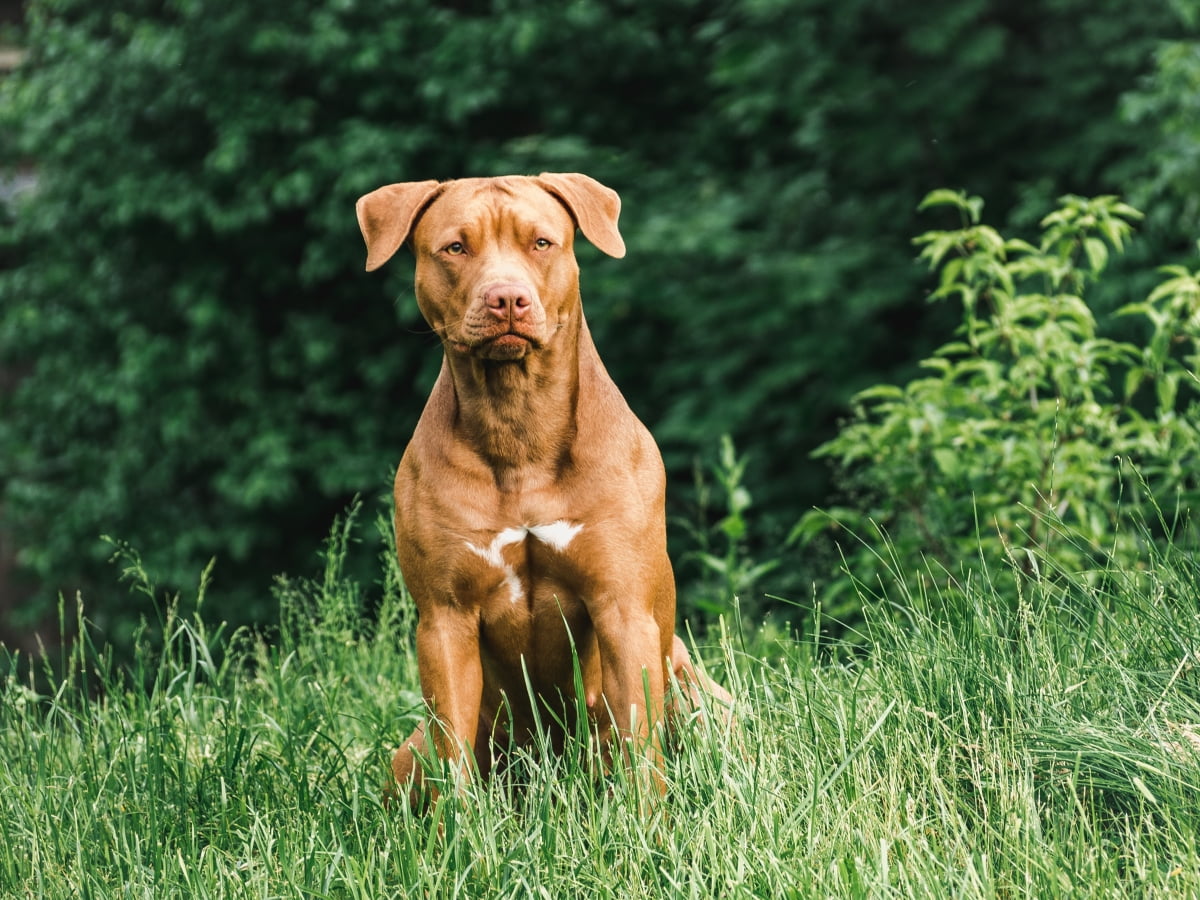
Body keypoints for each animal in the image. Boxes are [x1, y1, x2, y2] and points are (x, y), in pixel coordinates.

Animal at [355, 172, 729, 806]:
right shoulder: (445, 620)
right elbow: (453, 756)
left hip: (695, 688)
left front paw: (646, 822)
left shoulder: (622, 609)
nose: (507, 298)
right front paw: (459, 830)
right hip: (410, 753)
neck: (518, 422)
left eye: (541, 243)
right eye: (456, 248)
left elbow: (637, 739)